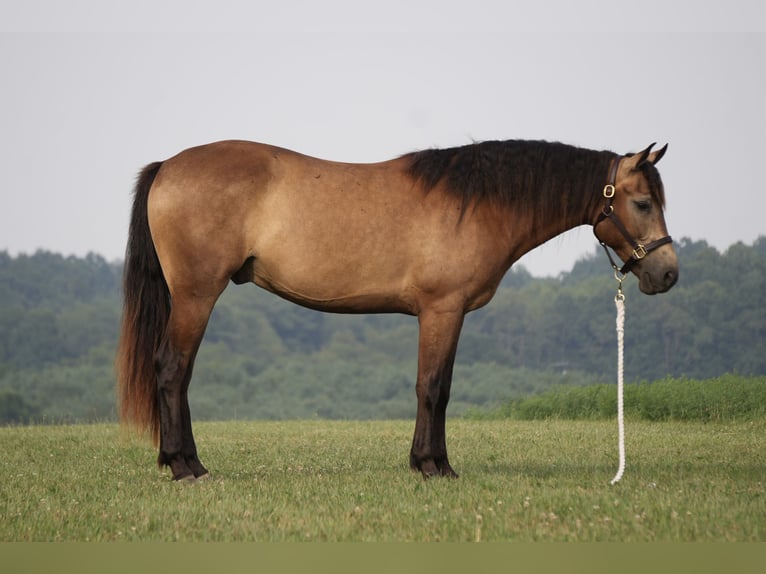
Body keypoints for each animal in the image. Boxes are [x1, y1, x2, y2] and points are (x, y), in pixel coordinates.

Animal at [116, 139, 678, 481]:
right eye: (643, 203)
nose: (668, 274)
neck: (476, 203)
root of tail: (168, 166)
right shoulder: (442, 311)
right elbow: (433, 388)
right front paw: (432, 467)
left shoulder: (448, 315)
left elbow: (437, 387)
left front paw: (430, 463)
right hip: (196, 296)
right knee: (172, 369)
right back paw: (186, 467)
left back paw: (185, 461)